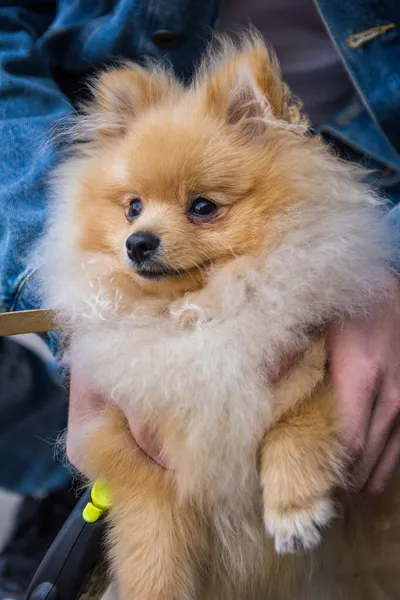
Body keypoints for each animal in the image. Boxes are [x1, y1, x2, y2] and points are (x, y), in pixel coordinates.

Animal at [41, 35, 400, 600]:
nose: (137, 242)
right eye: (133, 207)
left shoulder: (321, 371)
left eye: (203, 207)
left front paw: (293, 510)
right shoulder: (143, 462)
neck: (199, 315)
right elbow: (154, 555)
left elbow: (296, 424)